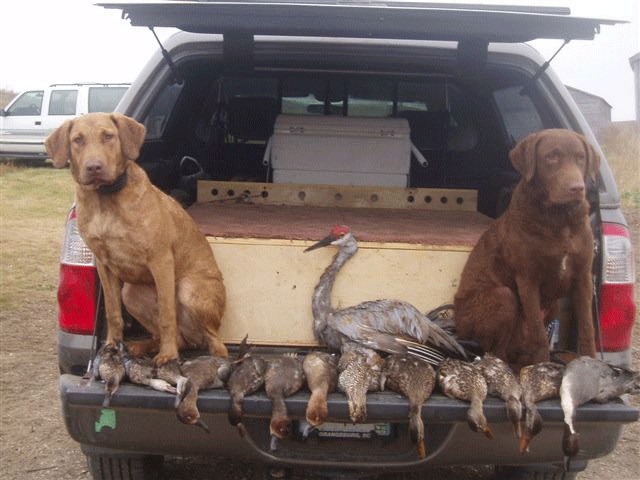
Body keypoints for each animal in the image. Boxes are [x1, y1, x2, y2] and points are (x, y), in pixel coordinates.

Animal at [47, 112, 228, 366]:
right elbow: (113, 312)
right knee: (175, 337)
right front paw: (112, 346)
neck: (106, 201)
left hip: (189, 290)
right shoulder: (104, 265)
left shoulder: (161, 260)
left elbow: (167, 314)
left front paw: (168, 355)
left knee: (215, 341)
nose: (94, 167)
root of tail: (193, 337)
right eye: (78, 140)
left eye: (108, 136)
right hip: (130, 294)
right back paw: (139, 347)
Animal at [456, 128, 600, 372]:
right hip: (503, 297)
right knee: (497, 351)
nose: (577, 188)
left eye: (581, 157)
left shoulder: (583, 276)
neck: (559, 222)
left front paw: (590, 363)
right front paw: (542, 367)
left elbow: (587, 327)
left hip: (553, 306)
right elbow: (539, 334)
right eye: (551, 157)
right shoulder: (527, 279)